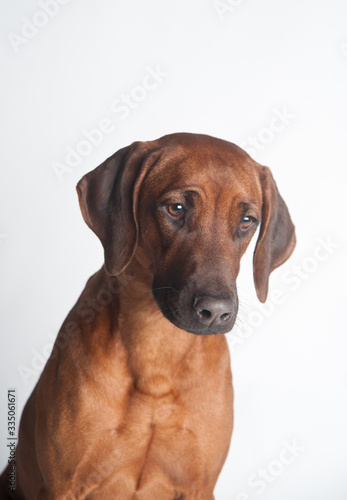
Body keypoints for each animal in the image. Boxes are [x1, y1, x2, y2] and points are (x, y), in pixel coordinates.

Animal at [0, 133, 296, 500]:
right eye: (176, 208)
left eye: (247, 221)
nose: (216, 311)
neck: (157, 353)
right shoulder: (63, 487)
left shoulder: (200, 487)